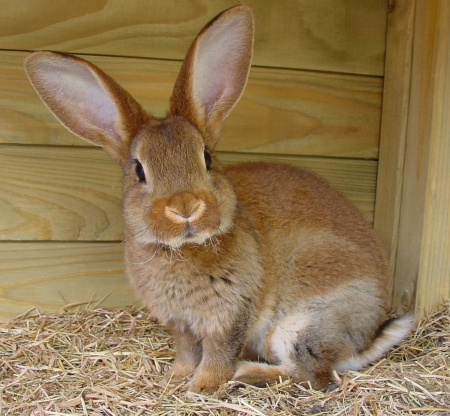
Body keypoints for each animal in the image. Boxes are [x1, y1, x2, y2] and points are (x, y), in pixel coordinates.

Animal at [22, 4, 414, 394]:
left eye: (207, 158)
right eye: (139, 171)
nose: (185, 208)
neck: (182, 250)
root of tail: (361, 342)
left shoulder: (229, 313)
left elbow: (217, 352)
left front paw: (203, 386)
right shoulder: (180, 322)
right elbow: (186, 349)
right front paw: (177, 378)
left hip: (298, 325)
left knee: (312, 375)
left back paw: (247, 372)